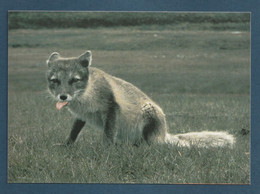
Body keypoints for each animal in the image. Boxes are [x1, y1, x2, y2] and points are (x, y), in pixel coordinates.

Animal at [46, 50, 236, 148]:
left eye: (74, 80)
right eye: (55, 81)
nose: (63, 96)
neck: (86, 95)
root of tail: (163, 134)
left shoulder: (111, 108)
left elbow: (108, 134)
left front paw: (105, 151)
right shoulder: (82, 116)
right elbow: (73, 132)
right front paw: (66, 145)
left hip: (149, 112)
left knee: (151, 145)